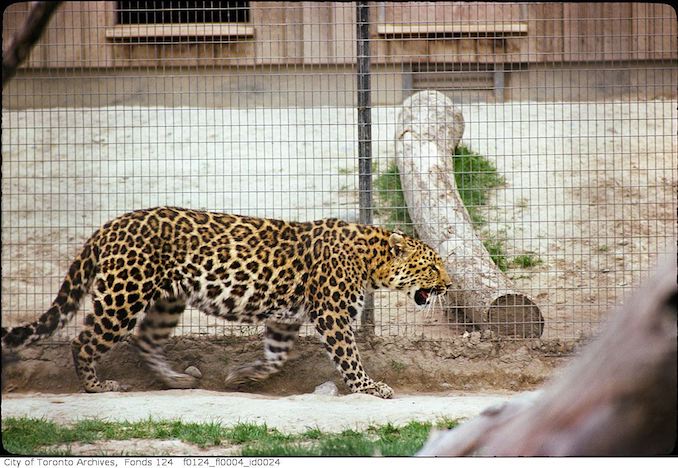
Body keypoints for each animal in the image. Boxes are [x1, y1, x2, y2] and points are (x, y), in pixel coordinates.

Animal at [5, 207, 454, 396]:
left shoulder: (286, 318)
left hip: (168, 301)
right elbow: (349, 357)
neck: (370, 260)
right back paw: (97, 385)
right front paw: (370, 388)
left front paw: (242, 375)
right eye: (433, 267)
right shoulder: (332, 314)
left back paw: (177, 380)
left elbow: (275, 357)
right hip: (123, 295)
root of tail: (107, 226)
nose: (449, 285)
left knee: (146, 340)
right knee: (84, 340)